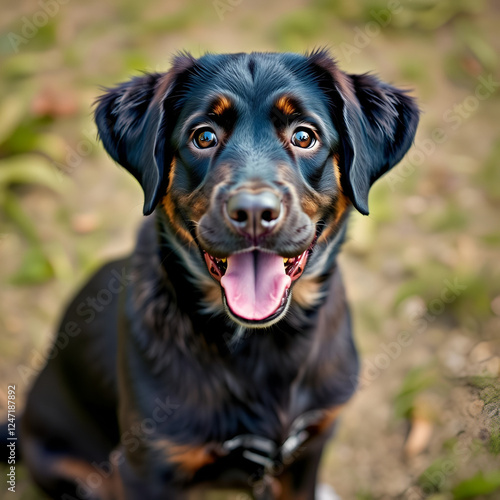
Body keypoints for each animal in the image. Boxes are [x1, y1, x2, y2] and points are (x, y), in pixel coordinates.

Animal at [14, 48, 418, 498]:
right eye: (203, 137)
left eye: (304, 136)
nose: (254, 212)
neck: (263, 348)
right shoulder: (148, 467)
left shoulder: (311, 446)